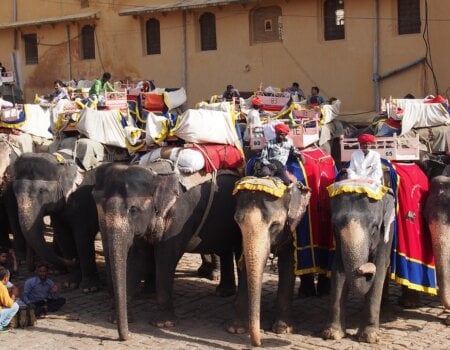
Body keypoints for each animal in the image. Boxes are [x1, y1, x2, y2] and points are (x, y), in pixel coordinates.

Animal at [95, 163, 243, 340]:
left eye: (134, 210)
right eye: (102, 207)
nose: (127, 337)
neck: (155, 175)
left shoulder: (181, 217)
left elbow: (165, 257)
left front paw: (163, 324)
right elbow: (138, 258)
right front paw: (114, 319)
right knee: (225, 250)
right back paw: (223, 292)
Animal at [227, 178, 312, 348]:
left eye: (275, 225)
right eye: (237, 221)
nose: (258, 343)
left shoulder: (294, 228)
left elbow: (288, 265)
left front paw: (283, 330)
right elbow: (245, 263)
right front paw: (236, 329)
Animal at [324, 185, 394, 344]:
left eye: (374, 227)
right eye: (334, 225)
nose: (364, 269)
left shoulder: (389, 229)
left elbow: (380, 266)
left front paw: (369, 337)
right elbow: (338, 267)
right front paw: (333, 334)